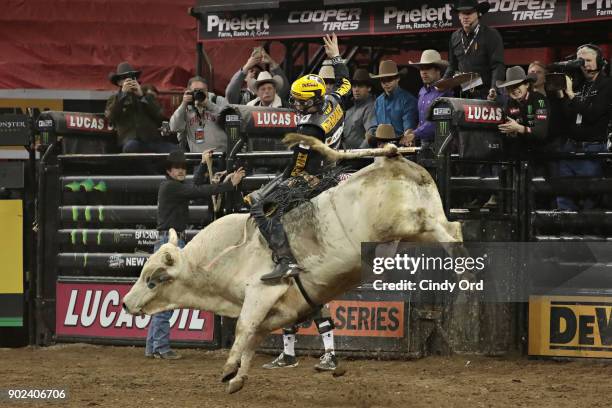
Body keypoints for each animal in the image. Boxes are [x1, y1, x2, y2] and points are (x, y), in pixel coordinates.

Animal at [123, 152, 460, 392]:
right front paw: (238, 379)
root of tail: (395, 160)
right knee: (453, 227)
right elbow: (255, 336)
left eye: (153, 280)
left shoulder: (261, 292)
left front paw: (228, 368)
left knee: (444, 230)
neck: (225, 257)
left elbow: (243, 328)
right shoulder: (285, 308)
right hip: (421, 225)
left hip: (407, 222)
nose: (125, 303)